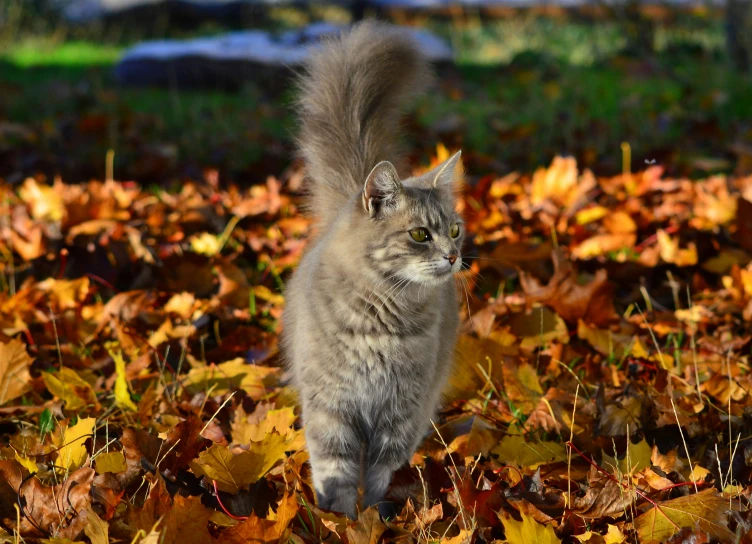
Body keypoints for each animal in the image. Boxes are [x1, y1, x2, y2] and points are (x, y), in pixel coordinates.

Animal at [280, 21, 464, 520]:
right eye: (420, 234)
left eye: (455, 230)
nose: (453, 256)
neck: (382, 322)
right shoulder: (333, 408)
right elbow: (337, 475)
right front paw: (341, 522)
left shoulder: (401, 412)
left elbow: (380, 474)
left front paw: (377, 520)